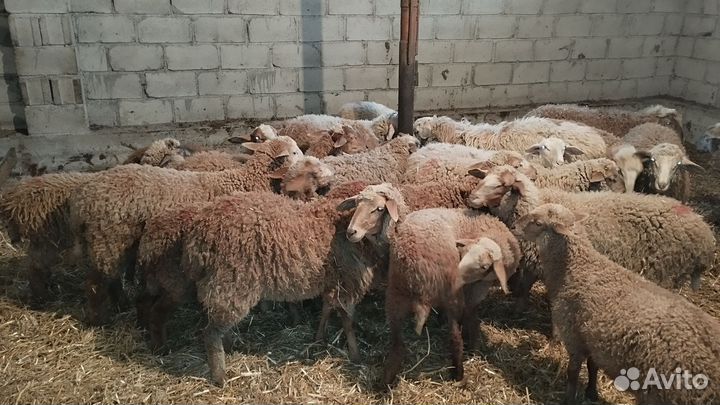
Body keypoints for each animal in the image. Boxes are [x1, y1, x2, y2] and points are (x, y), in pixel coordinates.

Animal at [67, 136, 303, 325]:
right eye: (293, 152)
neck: (247, 179)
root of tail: (82, 199)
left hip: (116, 240)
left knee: (113, 274)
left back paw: (122, 303)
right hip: (107, 237)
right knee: (96, 283)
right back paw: (98, 319)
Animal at [135, 156, 336, 349]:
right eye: (315, 169)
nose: (332, 176)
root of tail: (149, 238)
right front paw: (298, 320)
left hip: (160, 280)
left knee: (144, 299)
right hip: (179, 282)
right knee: (160, 311)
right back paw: (161, 346)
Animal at [181, 181, 386, 386]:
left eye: (379, 209)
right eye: (358, 205)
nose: (353, 232)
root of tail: (201, 232)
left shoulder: (333, 282)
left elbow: (327, 309)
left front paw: (319, 338)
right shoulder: (347, 282)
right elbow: (347, 322)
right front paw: (355, 355)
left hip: (223, 285)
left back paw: (230, 346)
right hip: (231, 281)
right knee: (211, 333)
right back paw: (220, 376)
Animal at [466, 165, 716, 308]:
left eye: (501, 185)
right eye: (483, 179)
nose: (471, 199)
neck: (534, 202)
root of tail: (705, 232)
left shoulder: (538, 262)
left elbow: (524, 292)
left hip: (667, 271)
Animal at [515, 203, 720, 405]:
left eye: (538, 222)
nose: (515, 227)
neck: (576, 266)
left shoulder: (573, 337)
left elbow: (572, 373)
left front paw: (569, 399)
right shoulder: (593, 337)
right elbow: (593, 367)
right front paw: (591, 392)